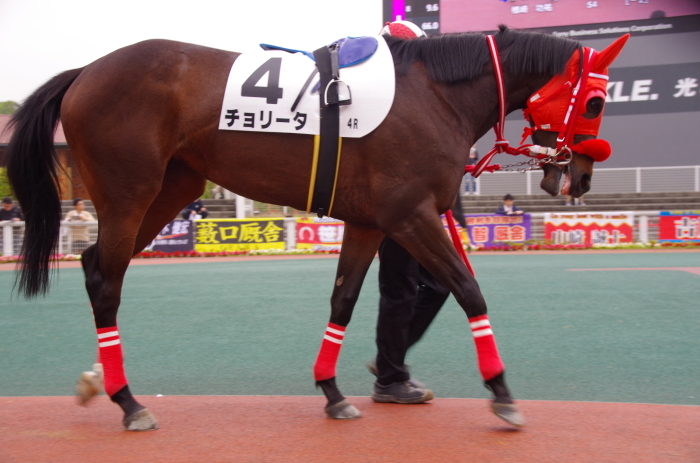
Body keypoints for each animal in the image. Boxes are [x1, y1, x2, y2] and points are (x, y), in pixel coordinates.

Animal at [5, 26, 628, 432]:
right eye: (597, 101)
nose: (582, 175)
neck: (432, 94)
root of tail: (86, 72)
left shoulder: (370, 222)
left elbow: (344, 301)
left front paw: (333, 392)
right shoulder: (410, 215)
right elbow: (468, 289)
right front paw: (500, 390)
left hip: (171, 188)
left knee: (95, 266)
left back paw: (100, 382)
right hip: (128, 192)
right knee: (107, 282)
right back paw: (129, 402)